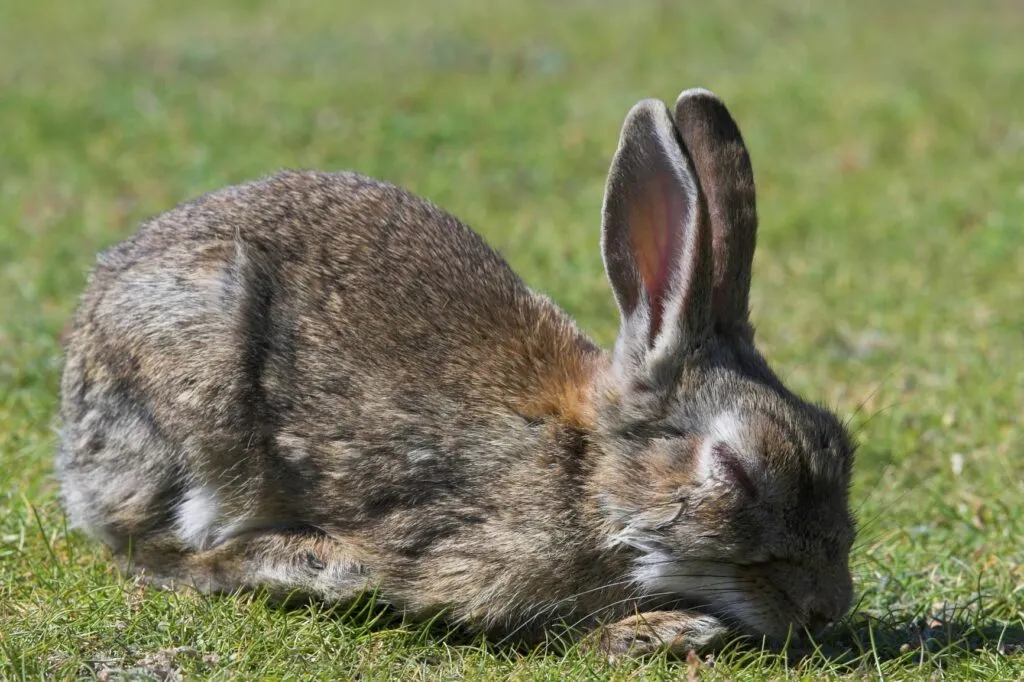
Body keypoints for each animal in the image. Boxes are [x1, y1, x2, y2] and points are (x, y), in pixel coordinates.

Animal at [56, 87, 856, 655]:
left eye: (841, 445)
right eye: (740, 472)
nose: (828, 608)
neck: (584, 470)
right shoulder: (461, 555)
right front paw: (661, 631)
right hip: (201, 393)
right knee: (156, 551)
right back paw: (314, 565)